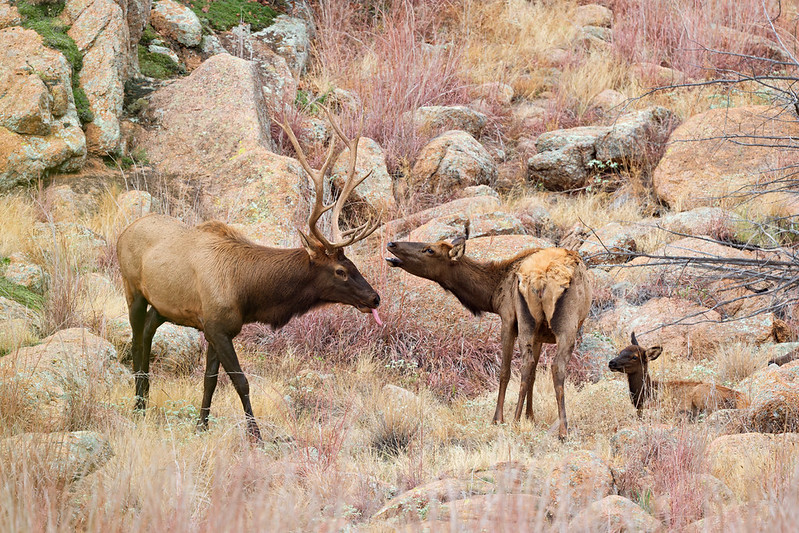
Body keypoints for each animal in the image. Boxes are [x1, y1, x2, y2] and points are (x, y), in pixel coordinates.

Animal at [117, 111, 382, 443]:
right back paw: (138, 405)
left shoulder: (216, 327)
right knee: (136, 342)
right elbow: (241, 381)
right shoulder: (217, 326)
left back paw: (145, 397)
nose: (375, 297)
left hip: (166, 305)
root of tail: (124, 231)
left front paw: (201, 425)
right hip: (132, 289)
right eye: (341, 271)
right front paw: (255, 435)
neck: (247, 293)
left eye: (353, 264)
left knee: (149, 329)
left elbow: (210, 379)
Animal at [386, 223, 592, 438]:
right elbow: (530, 373)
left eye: (430, 250)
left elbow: (507, 371)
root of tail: (541, 279)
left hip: (541, 323)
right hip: (553, 327)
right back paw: (555, 427)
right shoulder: (533, 332)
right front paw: (529, 417)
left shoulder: (509, 318)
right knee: (548, 366)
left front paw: (499, 418)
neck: (493, 295)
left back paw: (529, 423)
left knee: (534, 365)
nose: (391, 244)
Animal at [608, 332, 749, 417]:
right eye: (620, 351)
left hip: (703, 395)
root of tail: (743, 399)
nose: (611, 363)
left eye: (634, 357)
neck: (645, 394)